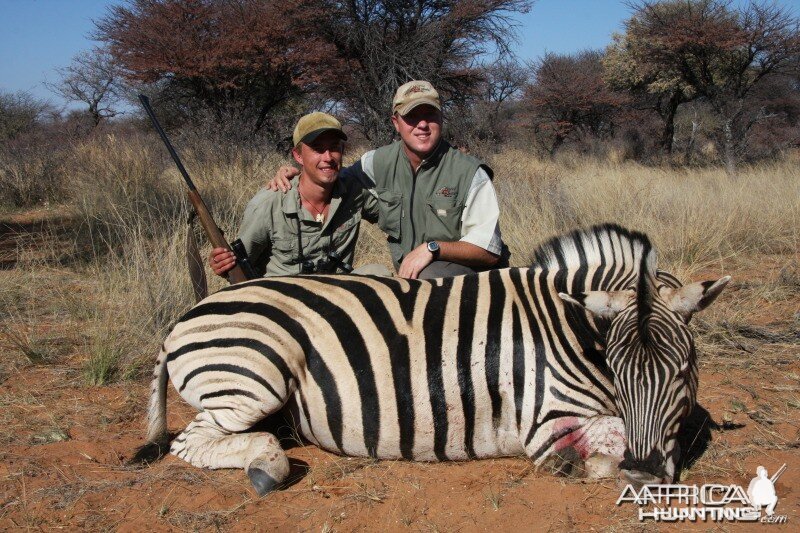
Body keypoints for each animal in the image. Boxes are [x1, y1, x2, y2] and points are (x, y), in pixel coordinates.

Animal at [134, 224, 729, 495]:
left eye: (682, 372)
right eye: (619, 369)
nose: (646, 473)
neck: (571, 325)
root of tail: (184, 318)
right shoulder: (546, 424)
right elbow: (596, 454)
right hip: (254, 374)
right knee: (195, 441)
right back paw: (266, 466)